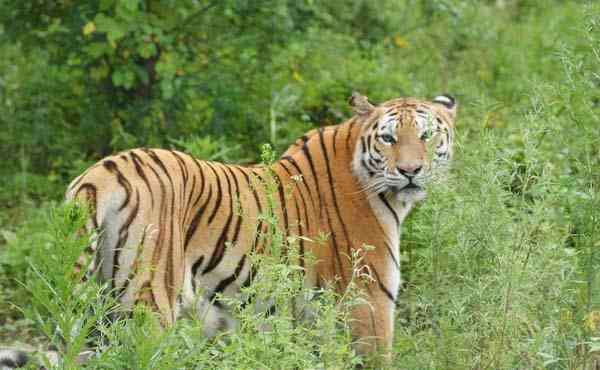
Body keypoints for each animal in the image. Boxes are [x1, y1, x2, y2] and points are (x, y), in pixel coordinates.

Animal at [0, 92, 454, 368]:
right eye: (389, 138)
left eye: (427, 136)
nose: (410, 171)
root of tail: (102, 172)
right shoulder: (369, 303)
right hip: (148, 310)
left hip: (99, 306)